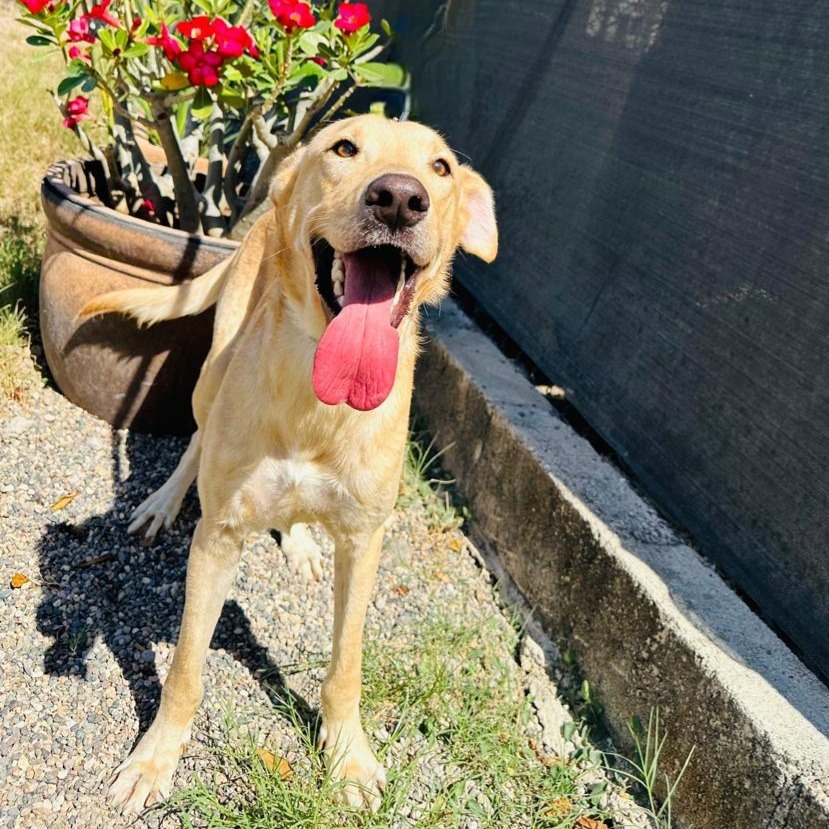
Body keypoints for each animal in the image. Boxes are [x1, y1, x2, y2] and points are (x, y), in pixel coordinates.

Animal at [82, 113, 498, 812]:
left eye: (440, 168)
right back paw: (163, 501)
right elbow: (186, 668)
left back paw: (299, 540)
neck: (317, 399)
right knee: (196, 438)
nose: (399, 198)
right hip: (210, 374)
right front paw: (155, 761)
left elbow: (347, 665)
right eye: (344, 148)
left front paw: (348, 756)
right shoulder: (218, 539)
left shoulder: (364, 542)